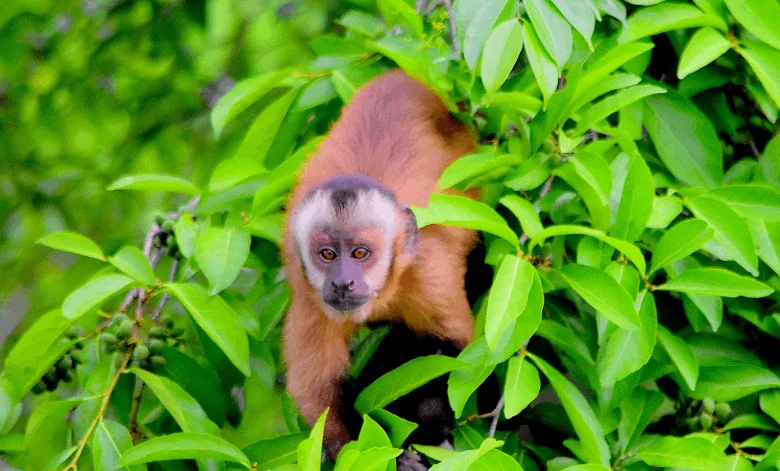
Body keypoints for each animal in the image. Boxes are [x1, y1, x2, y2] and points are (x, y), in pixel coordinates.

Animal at [281, 69, 479, 461]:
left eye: (360, 253)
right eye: (327, 255)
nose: (342, 283)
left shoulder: (428, 273)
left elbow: (458, 351)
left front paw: (429, 424)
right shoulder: (311, 297)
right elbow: (319, 396)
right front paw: (397, 457)